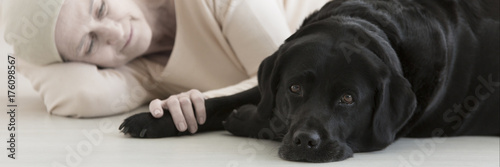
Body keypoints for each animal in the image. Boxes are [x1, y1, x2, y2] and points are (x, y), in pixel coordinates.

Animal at [119, 0, 498, 162]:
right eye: (295, 88)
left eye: (348, 99)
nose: (305, 142)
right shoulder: (270, 85)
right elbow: (224, 102)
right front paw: (154, 119)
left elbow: (263, 119)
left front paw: (242, 118)